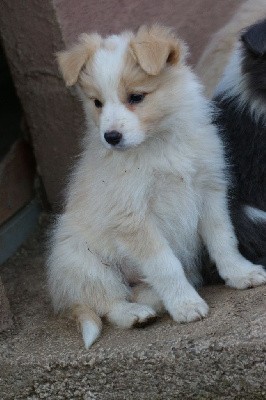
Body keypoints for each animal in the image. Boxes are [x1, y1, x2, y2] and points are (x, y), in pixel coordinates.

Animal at [47, 25, 266, 350]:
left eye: (136, 97)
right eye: (97, 103)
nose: (111, 137)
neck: (159, 145)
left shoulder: (209, 190)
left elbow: (223, 239)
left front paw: (240, 273)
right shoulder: (133, 217)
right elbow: (165, 264)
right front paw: (186, 305)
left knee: (141, 291)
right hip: (84, 264)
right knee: (109, 303)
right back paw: (136, 314)